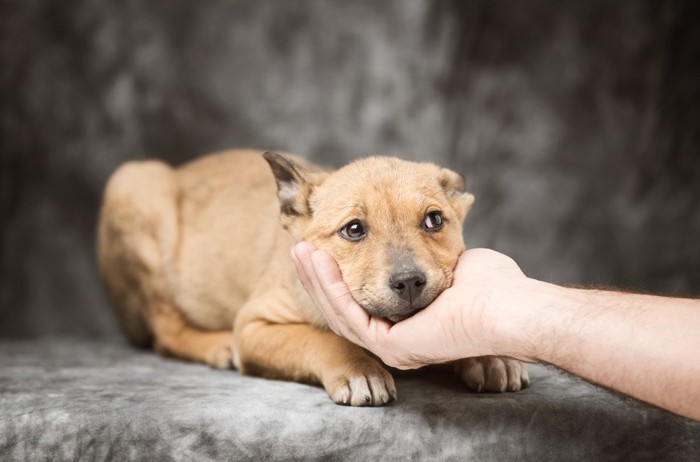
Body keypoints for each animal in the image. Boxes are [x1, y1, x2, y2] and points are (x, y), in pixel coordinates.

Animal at [95, 150, 528, 406]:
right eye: (353, 230)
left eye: (434, 220)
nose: (409, 282)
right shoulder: (254, 326)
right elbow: (319, 339)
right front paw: (359, 368)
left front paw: (489, 354)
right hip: (134, 187)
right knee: (166, 331)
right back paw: (214, 345)